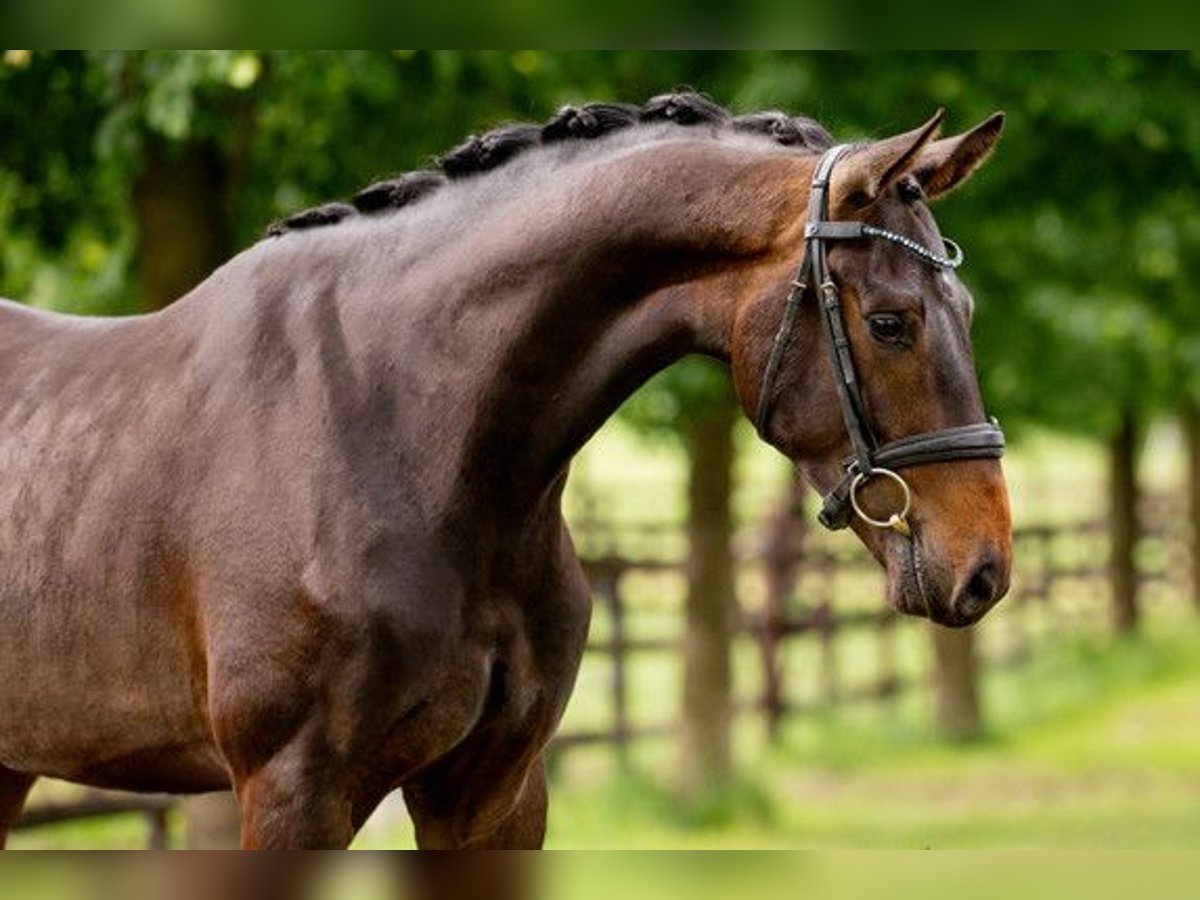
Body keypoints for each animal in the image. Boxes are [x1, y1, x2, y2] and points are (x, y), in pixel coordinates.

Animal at [0, 95, 1012, 849]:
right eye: (891, 322)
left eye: (967, 308)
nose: (985, 567)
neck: (404, 437)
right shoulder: (292, 792)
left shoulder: (496, 791)